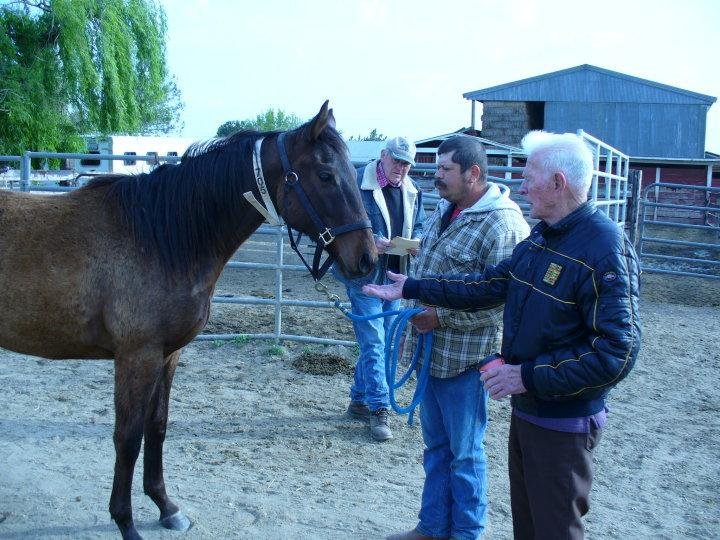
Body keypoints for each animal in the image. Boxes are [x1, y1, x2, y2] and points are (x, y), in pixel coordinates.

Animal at [0, 101, 377, 540]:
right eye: (325, 175)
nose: (368, 258)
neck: (161, 237)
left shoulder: (168, 355)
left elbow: (157, 428)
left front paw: (166, 507)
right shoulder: (137, 357)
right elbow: (128, 437)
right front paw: (126, 522)